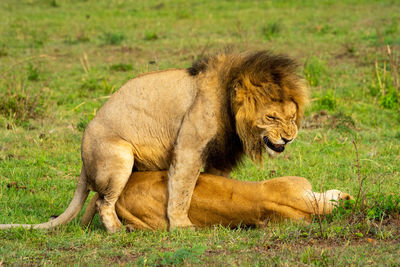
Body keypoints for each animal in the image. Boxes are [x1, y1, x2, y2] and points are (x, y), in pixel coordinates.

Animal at [0, 50, 308, 232]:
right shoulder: (189, 146)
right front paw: (182, 225)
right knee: (104, 202)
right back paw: (116, 231)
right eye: (271, 117)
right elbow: (182, 188)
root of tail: (83, 160)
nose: (289, 137)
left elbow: (217, 185)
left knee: (98, 199)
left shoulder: (220, 155)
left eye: (292, 116)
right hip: (120, 157)